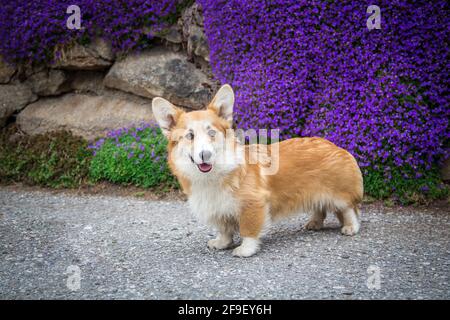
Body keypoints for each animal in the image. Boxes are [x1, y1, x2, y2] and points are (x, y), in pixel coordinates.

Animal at [153, 85, 364, 258]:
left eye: (211, 133)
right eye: (190, 136)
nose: (205, 154)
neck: (212, 176)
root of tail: (335, 146)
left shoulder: (252, 205)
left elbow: (249, 230)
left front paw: (245, 249)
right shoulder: (219, 210)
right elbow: (224, 230)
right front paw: (222, 243)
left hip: (339, 195)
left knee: (348, 210)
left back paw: (350, 227)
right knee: (320, 207)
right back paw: (314, 223)